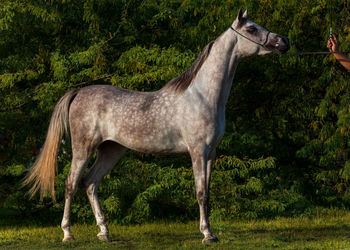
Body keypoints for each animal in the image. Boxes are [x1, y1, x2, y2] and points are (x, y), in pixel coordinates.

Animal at [23, 7, 290, 244]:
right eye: (251, 28)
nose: (284, 41)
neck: (203, 96)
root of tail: (78, 92)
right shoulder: (197, 151)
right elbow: (200, 193)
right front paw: (207, 235)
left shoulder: (211, 152)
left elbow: (208, 192)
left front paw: (211, 232)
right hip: (83, 148)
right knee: (71, 183)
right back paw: (68, 233)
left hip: (111, 150)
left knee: (90, 183)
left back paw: (104, 233)